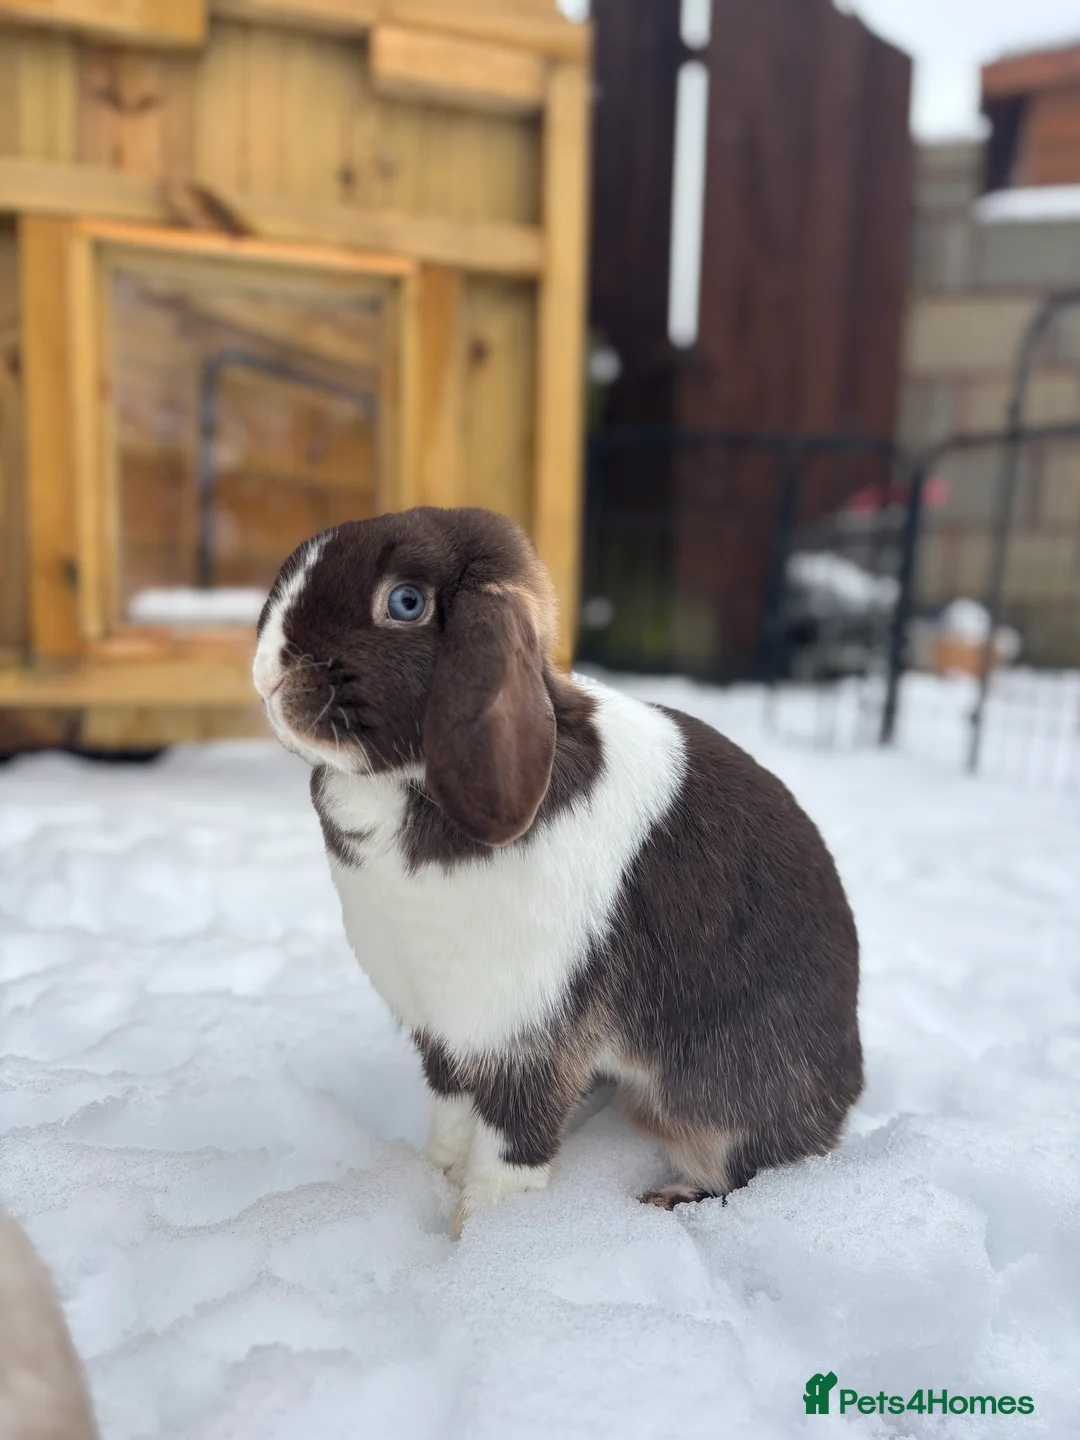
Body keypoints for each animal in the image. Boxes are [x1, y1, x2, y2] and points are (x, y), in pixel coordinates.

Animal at [254, 507, 862, 1234]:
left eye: (405, 603)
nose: (267, 672)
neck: (402, 787)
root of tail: (847, 1088)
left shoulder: (529, 1038)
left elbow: (510, 1148)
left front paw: (479, 1234)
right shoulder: (444, 1030)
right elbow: (453, 1115)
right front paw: (436, 1179)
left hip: (722, 1100)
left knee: (747, 1169)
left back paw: (670, 1199)